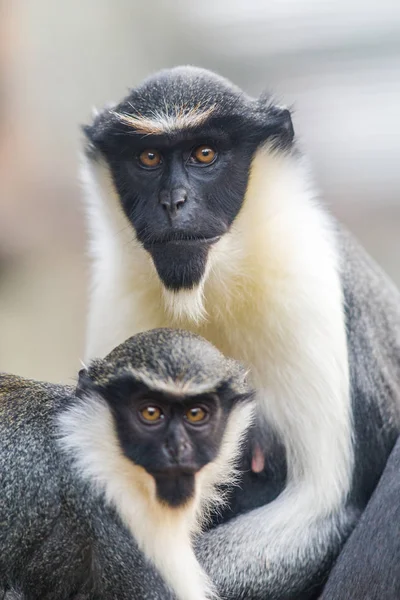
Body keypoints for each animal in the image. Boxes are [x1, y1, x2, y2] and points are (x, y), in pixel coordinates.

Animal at [79, 63, 400, 596]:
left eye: (204, 154)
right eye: (148, 157)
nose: (173, 201)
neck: (209, 289)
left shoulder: (303, 286)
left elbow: (314, 511)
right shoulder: (118, 300)